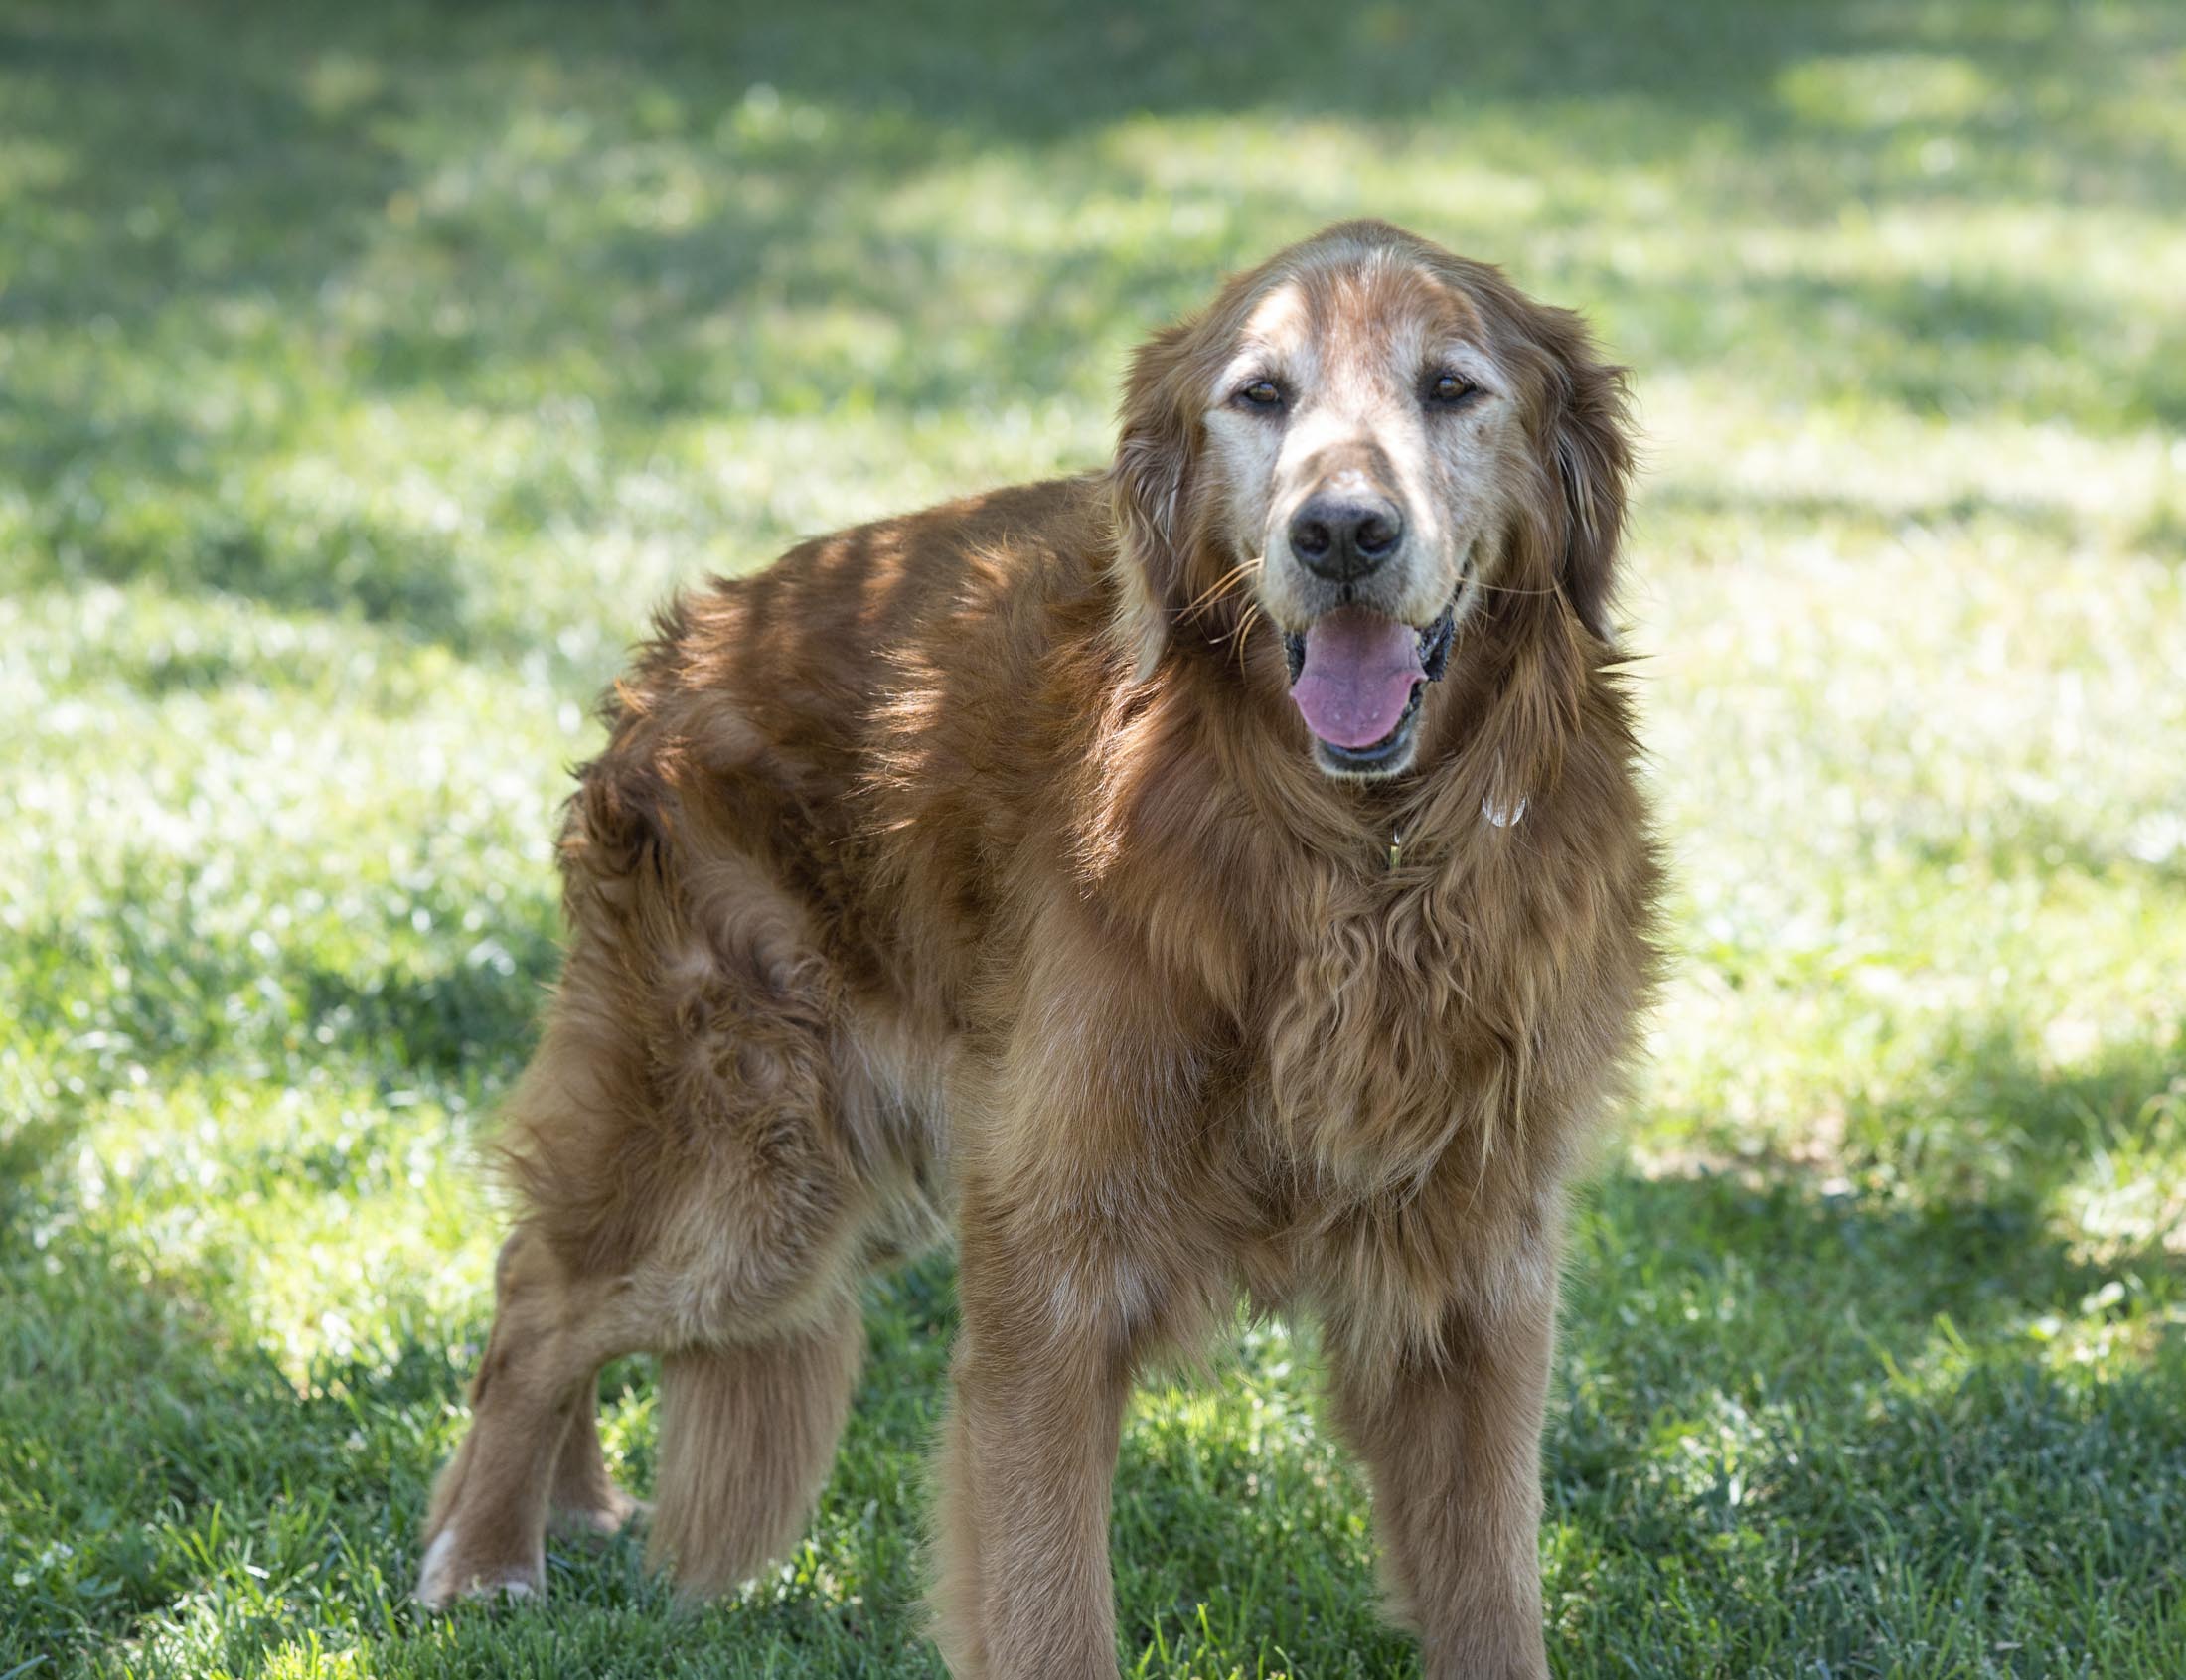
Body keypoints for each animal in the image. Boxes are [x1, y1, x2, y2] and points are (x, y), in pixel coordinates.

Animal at [415, 219, 1658, 1679]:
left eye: (1451, 387)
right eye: (1261, 395)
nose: (1343, 531)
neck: (1357, 861)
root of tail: (685, 643)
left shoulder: (1477, 1278)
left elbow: (1491, 1594)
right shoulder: (1052, 1268)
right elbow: (1052, 1605)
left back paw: (571, 1504)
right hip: (757, 1182)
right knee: (539, 1293)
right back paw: (484, 1553)